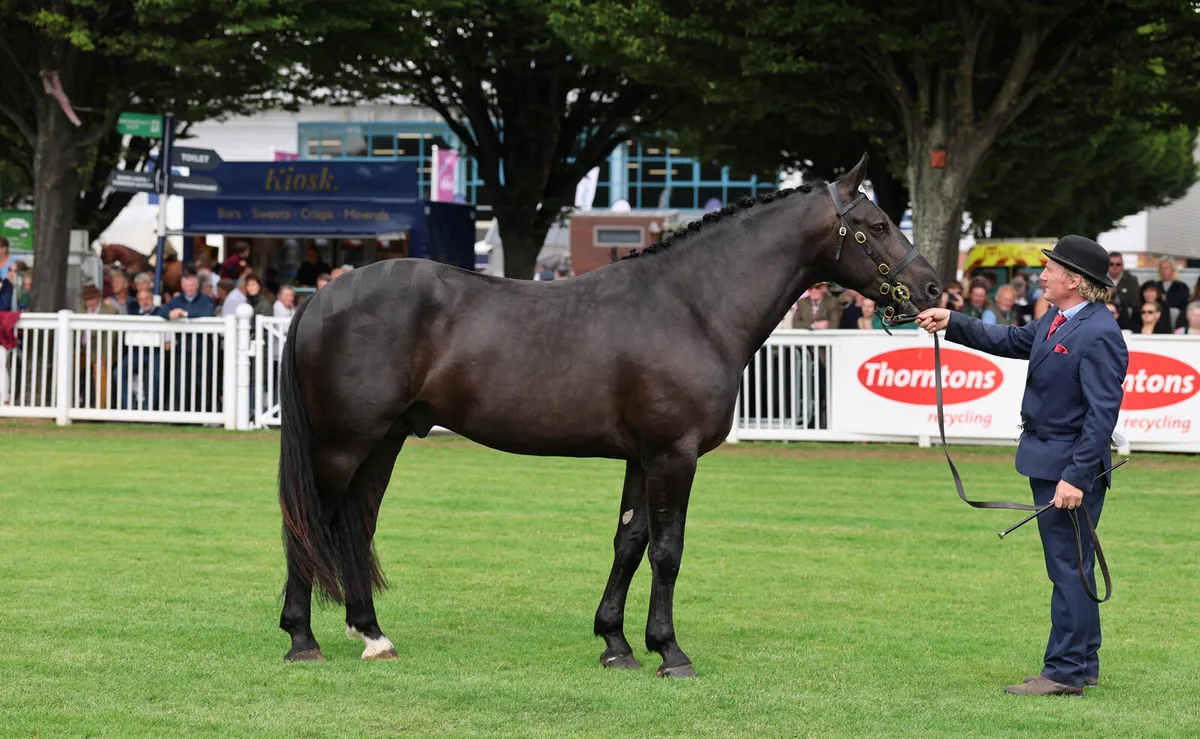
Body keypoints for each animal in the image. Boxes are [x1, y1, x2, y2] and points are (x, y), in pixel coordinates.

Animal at [276, 154, 944, 675]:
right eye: (877, 224)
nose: (935, 291)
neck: (692, 306)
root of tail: (324, 295)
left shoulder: (641, 459)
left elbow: (629, 542)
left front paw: (616, 644)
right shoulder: (673, 455)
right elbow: (668, 550)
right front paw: (670, 652)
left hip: (383, 441)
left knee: (355, 526)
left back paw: (371, 634)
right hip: (342, 445)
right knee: (308, 523)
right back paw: (302, 638)